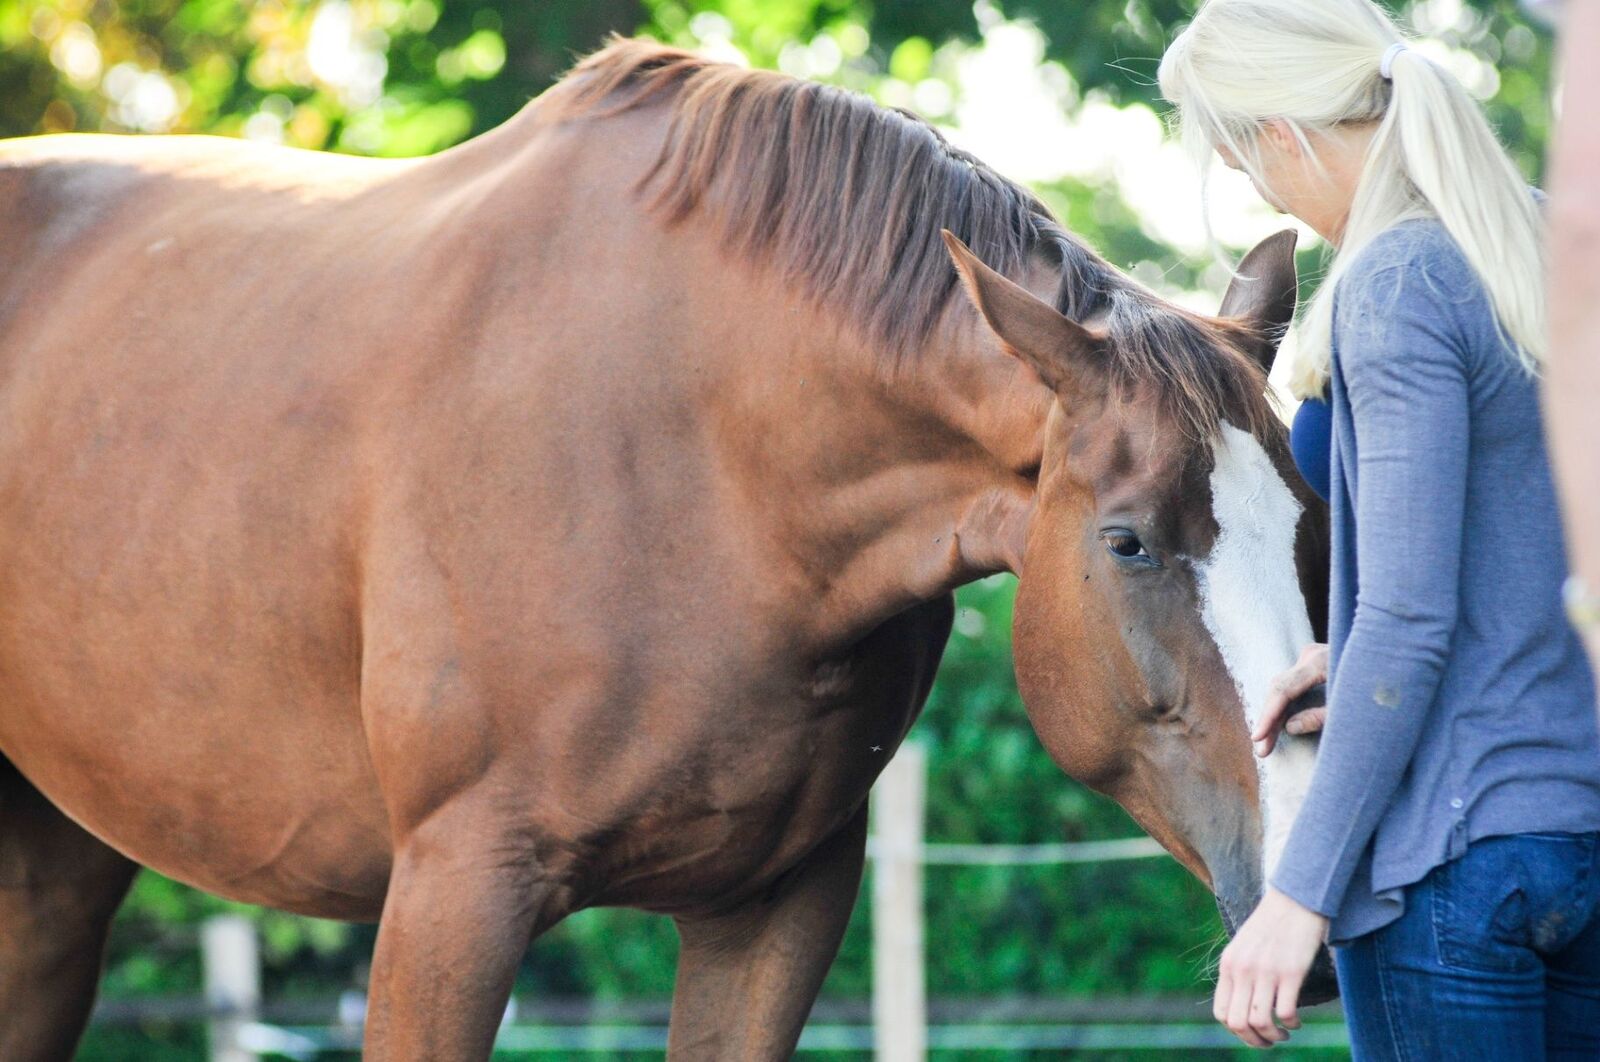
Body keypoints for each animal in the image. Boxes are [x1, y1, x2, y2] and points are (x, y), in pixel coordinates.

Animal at [0, 39, 1330, 1059]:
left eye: (1314, 529)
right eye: (1128, 541)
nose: (1302, 917)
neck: (706, 463)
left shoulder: (776, 907)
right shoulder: (451, 896)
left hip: (55, 870)